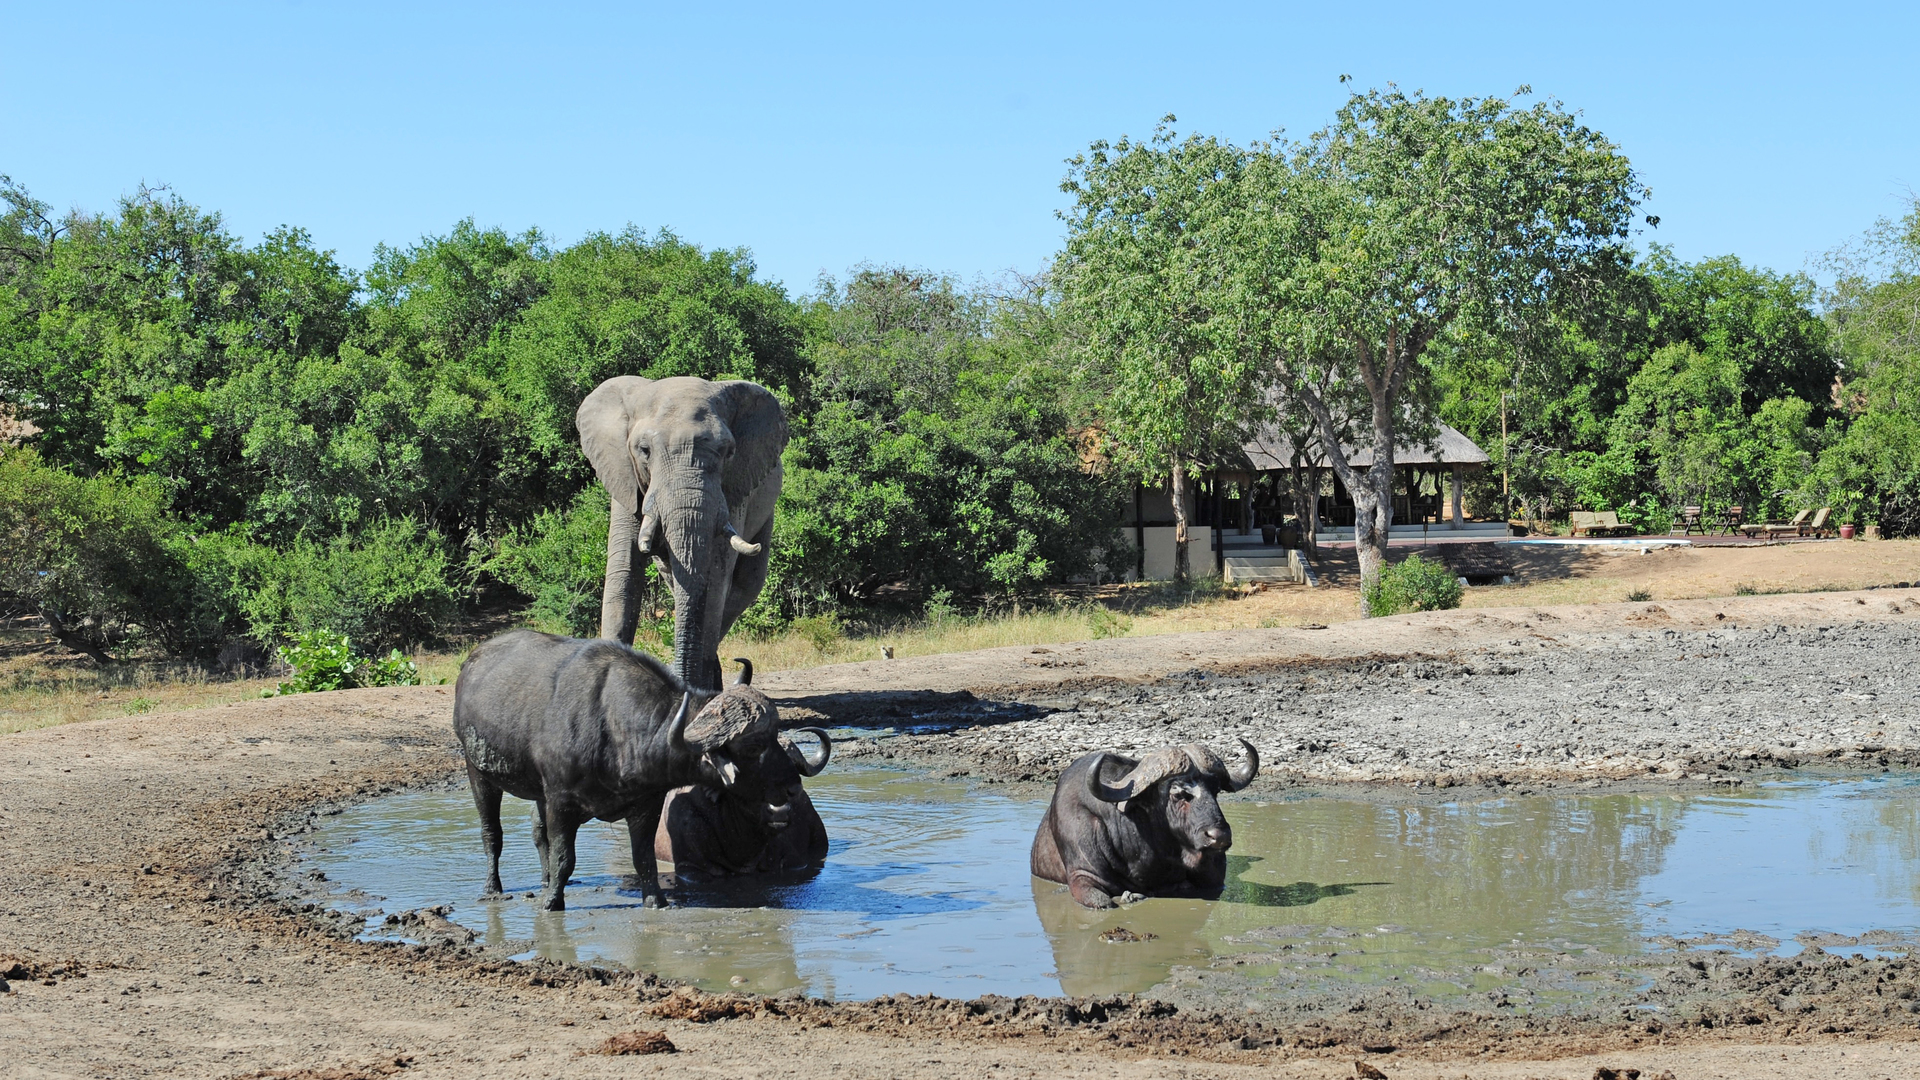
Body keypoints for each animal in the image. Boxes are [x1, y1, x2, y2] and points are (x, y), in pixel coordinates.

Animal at [578, 375, 787, 692]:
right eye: (644, 450)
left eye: (729, 452)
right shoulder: (624, 476)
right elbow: (624, 573)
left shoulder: (734, 488)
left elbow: (716, 576)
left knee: (745, 586)